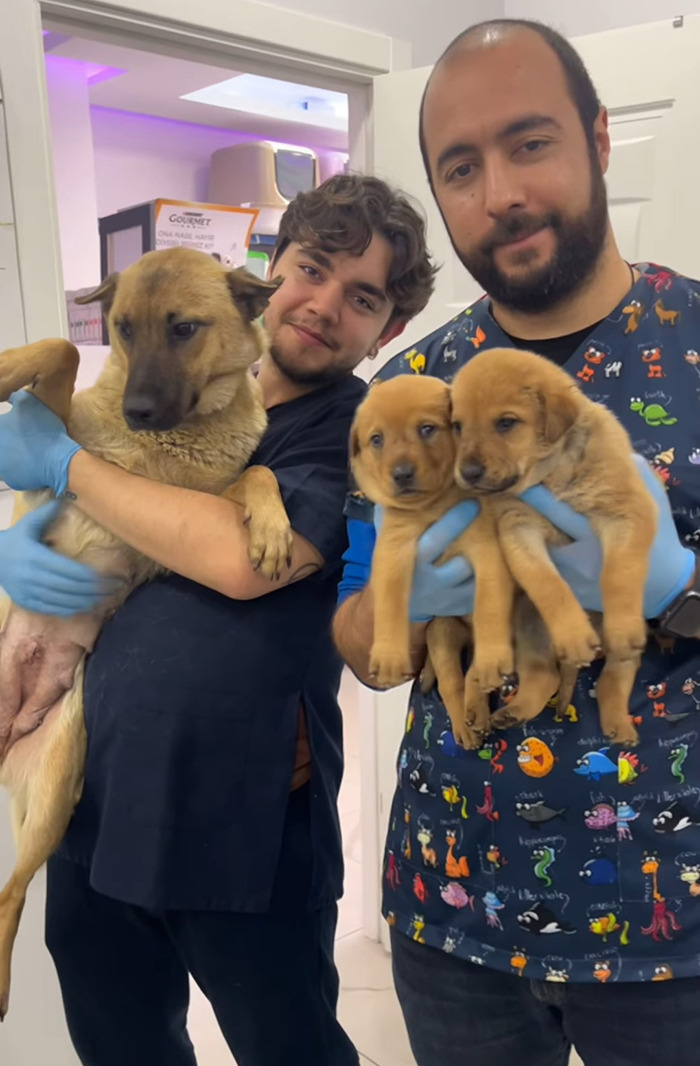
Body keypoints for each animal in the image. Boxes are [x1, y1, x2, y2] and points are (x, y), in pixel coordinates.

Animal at [0, 245, 291, 1019]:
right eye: (124, 329)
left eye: (184, 328)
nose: (138, 410)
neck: (164, 443)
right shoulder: (62, 443)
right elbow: (61, 347)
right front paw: (8, 366)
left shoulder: (200, 510)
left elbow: (258, 476)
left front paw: (274, 527)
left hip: (55, 793)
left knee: (9, 895)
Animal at [447, 345, 656, 746]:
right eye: (458, 426)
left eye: (506, 423)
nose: (467, 474)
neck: (552, 471)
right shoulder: (519, 530)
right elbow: (550, 586)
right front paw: (573, 634)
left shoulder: (626, 512)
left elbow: (619, 573)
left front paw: (622, 624)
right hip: (528, 625)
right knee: (541, 674)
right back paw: (501, 712)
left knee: (614, 677)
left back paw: (619, 724)